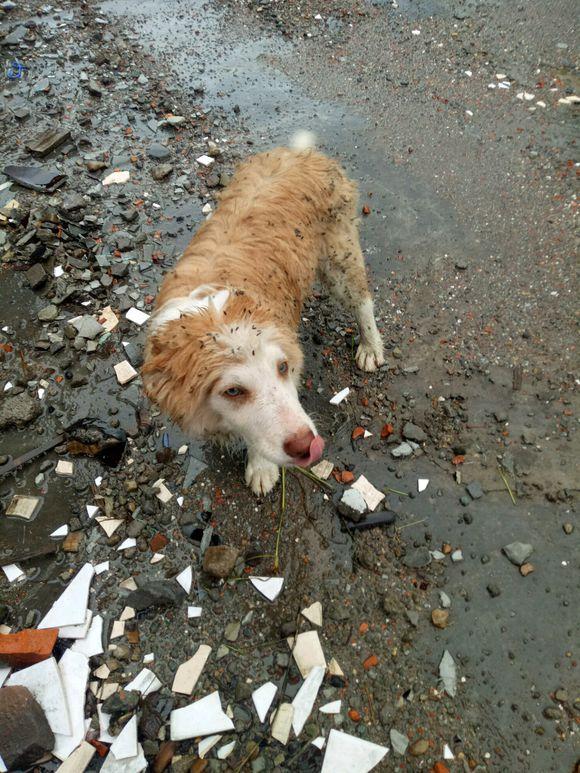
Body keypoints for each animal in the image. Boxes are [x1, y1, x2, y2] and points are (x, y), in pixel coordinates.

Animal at [142, 134, 386, 494]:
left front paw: (261, 466)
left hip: (339, 257)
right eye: (233, 391)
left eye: (282, 368)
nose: (309, 447)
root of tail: (300, 153)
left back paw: (370, 346)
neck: (213, 309)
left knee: (362, 301)